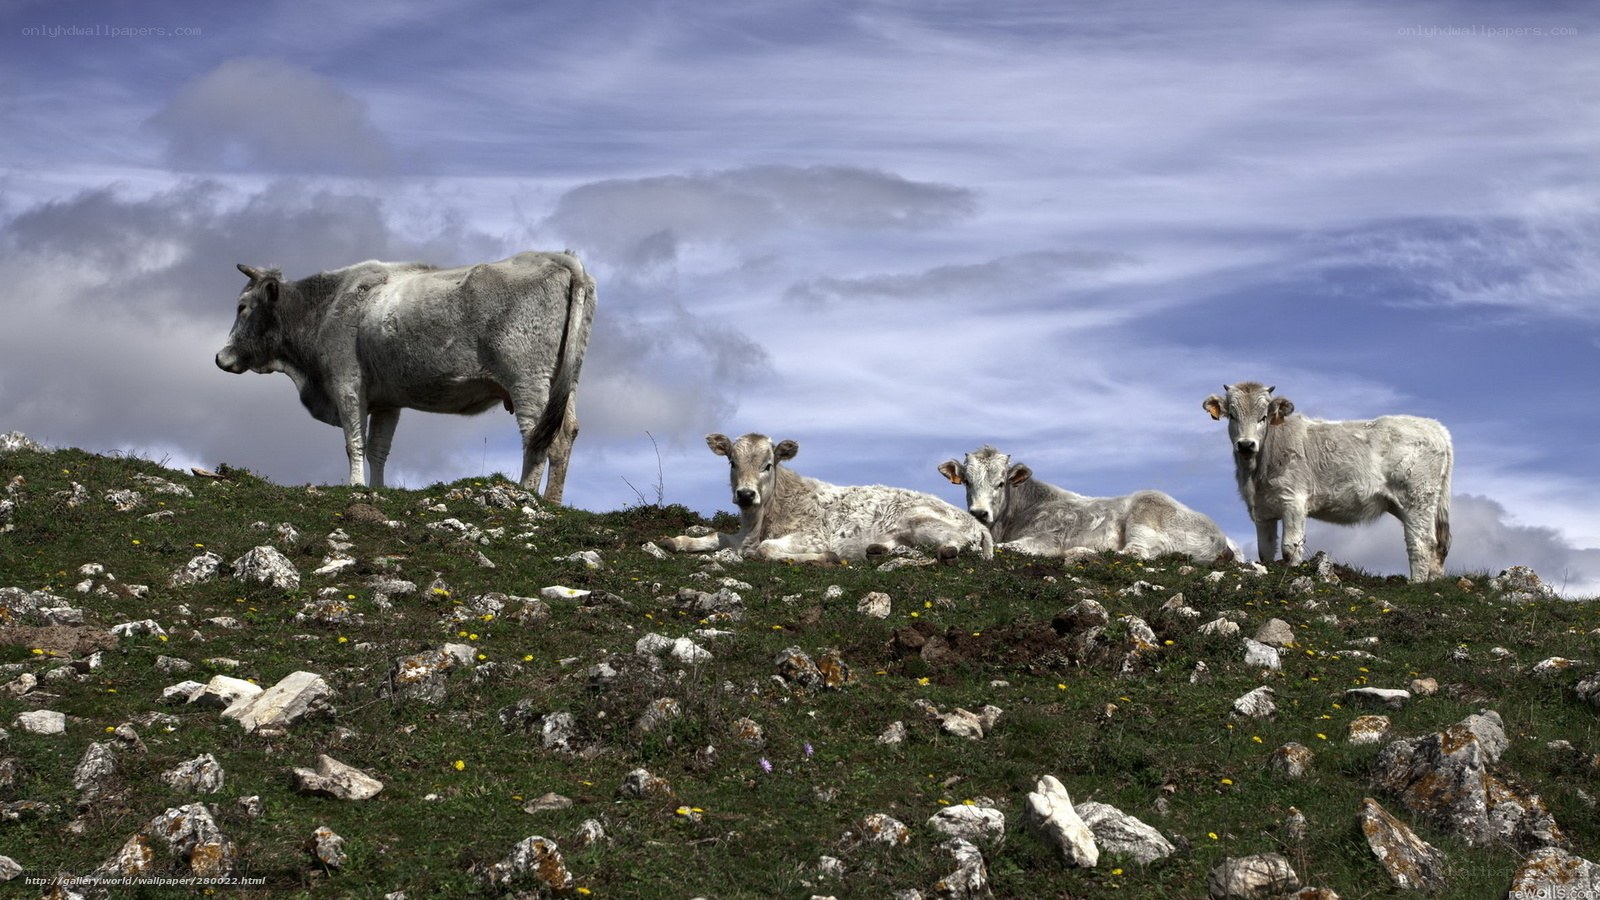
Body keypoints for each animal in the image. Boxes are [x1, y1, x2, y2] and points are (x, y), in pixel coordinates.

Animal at [216, 251, 595, 499]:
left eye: (242, 307)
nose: (220, 357)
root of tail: (558, 258)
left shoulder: (347, 384)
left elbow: (354, 442)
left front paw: (355, 486)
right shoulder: (387, 401)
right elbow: (378, 449)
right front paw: (377, 488)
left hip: (528, 379)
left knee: (538, 436)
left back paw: (525, 495)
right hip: (565, 383)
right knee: (565, 435)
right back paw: (553, 501)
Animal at [666, 433, 993, 563]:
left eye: (768, 465)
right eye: (732, 462)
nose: (746, 494)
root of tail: (980, 526)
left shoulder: (813, 536)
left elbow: (767, 549)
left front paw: (828, 557)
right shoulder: (740, 536)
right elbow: (716, 535)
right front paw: (676, 541)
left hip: (920, 520)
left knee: (951, 545)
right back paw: (878, 550)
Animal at [938, 446, 1236, 562]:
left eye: (1001, 483)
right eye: (966, 482)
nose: (979, 512)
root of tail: (1220, 537)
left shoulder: (1049, 538)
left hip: (1146, 512)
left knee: (1134, 552)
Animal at [1202, 382, 1453, 581]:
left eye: (1263, 417)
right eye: (1232, 415)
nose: (1246, 445)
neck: (1256, 475)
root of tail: (1434, 426)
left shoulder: (1293, 500)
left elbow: (1290, 546)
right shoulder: (1262, 510)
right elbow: (1265, 550)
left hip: (1417, 499)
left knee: (1421, 542)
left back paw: (1417, 583)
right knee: (1437, 546)